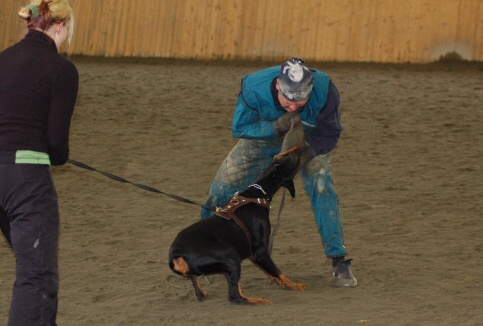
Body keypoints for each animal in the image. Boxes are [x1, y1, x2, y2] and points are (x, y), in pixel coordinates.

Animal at [168, 142, 308, 304]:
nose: (305, 144)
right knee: (235, 296)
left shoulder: (253, 254)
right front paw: (295, 286)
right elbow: (279, 272)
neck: (256, 196)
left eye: (285, 153)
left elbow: (271, 272)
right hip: (231, 256)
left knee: (199, 291)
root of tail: (175, 254)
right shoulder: (260, 252)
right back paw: (259, 300)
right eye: (293, 157)